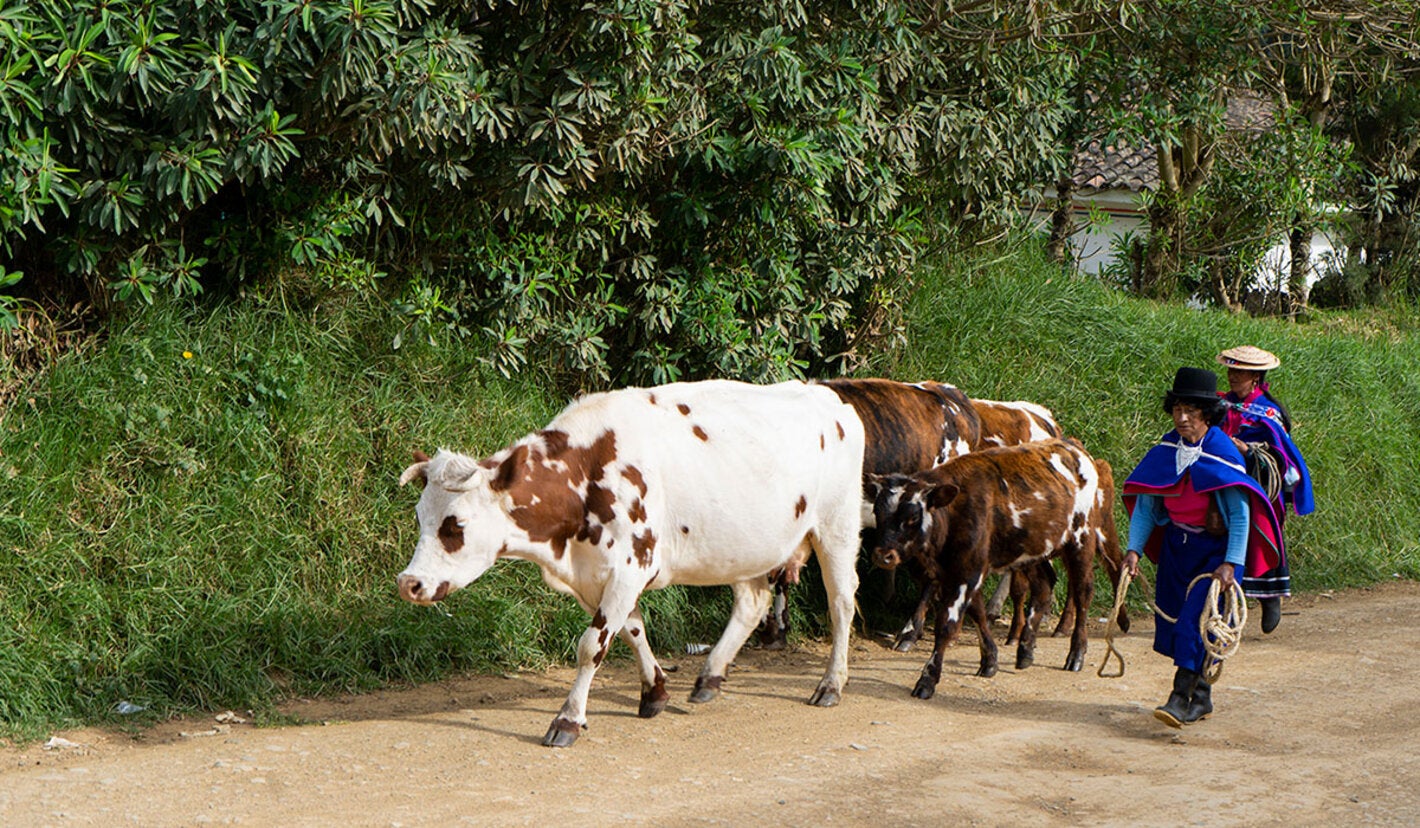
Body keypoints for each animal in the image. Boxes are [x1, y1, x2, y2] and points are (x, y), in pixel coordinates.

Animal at [396, 379, 866, 747]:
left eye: (455, 524)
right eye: (419, 517)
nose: (408, 583)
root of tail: (829, 398)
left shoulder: (628, 566)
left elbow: (591, 646)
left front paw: (568, 720)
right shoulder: (597, 577)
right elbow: (631, 630)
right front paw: (654, 691)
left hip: (837, 528)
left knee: (841, 603)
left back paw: (830, 684)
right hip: (744, 547)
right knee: (752, 603)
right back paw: (709, 676)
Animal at [867, 438, 1120, 699]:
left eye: (913, 517)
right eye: (878, 512)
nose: (883, 555)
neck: (955, 511)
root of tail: (1073, 445)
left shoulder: (967, 573)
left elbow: (947, 624)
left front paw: (927, 679)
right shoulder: (959, 571)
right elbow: (977, 613)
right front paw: (989, 659)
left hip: (1081, 541)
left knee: (1082, 593)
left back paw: (1076, 654)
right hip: (1034, 551)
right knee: (1043, 586)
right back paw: (1025, 649)